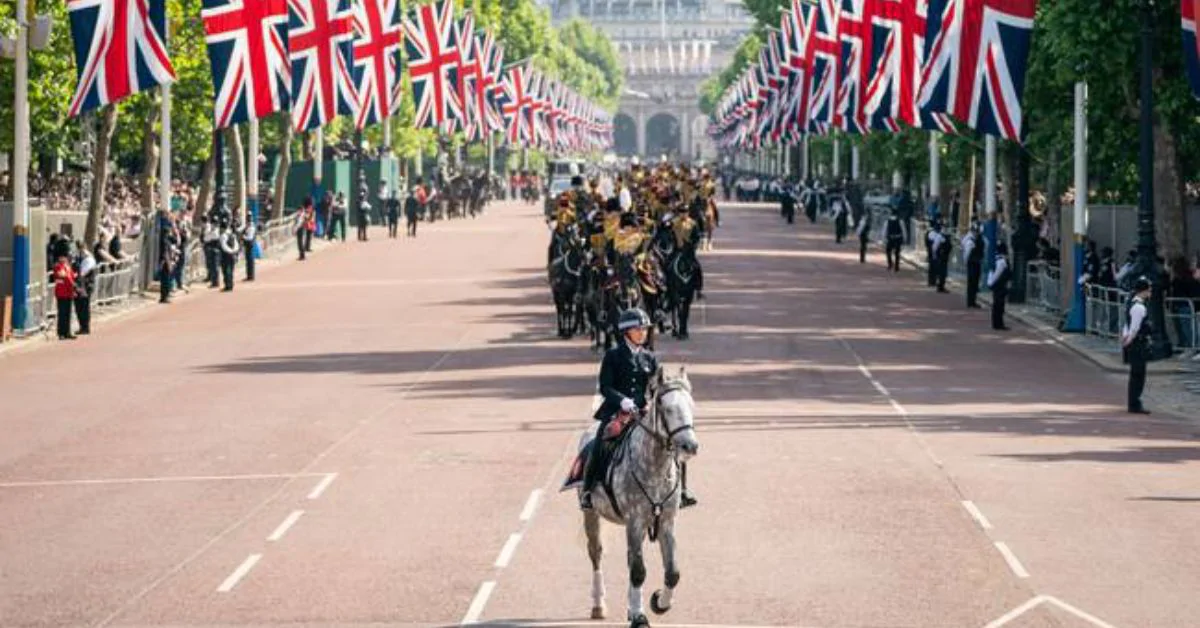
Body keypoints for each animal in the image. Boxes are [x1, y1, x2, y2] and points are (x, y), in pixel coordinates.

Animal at [576, 365, 700, 624]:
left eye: (691, 405)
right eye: (667, 408)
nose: (690, 446)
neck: (655, 468)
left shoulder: (666, 521)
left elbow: (672, 572)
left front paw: (659, 602)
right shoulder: (634, 521)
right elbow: (638, 571)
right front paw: (638, 615)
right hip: (591, 514)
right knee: (596, 554)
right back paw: (598, 604)